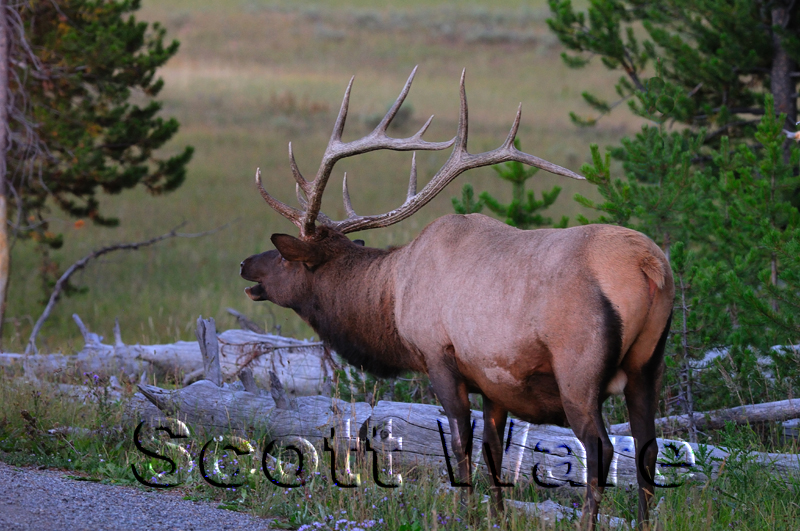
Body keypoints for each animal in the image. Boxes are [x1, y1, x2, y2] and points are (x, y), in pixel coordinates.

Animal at [240, 67, 674, 530]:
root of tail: (649, 265)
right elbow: (492, 448)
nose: (246, 264)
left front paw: (465, 512)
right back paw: (645, 523)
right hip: (648, 365)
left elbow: (461, 441)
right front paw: (497, 514)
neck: (393, 298)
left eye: (283, 257)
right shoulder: (493, 377)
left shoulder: (439, 355)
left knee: (601, 448)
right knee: (648, 447)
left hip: (578, 369)